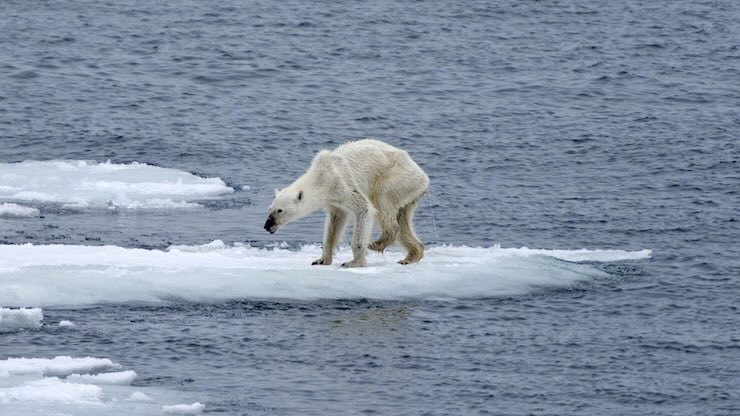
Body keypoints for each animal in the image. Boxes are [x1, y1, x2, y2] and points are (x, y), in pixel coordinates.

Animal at [264, 138, 428, 268]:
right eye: (270, 208)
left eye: (280, 210)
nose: (267, 225)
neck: (320, 176)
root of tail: (423, 177)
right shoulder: (332, 199)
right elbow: (335, 222)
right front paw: (321, 260)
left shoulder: (340, 183)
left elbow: (364, 208)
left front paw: (353, 262)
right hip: (408, 191)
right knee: (403, 219)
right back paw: (411, 256)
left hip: (396, 178)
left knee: (382, 202)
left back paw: (377, 243)